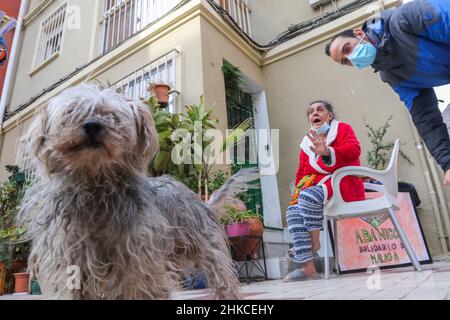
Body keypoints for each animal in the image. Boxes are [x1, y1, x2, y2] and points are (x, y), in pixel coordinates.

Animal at [17, 85, 258, 300]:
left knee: (224, 281)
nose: (92, 125)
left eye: (112, 116)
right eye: (72, 112)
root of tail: (202, 201)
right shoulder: (71, 260)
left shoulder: (139, 259)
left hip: (211, 253)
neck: (95, 187)